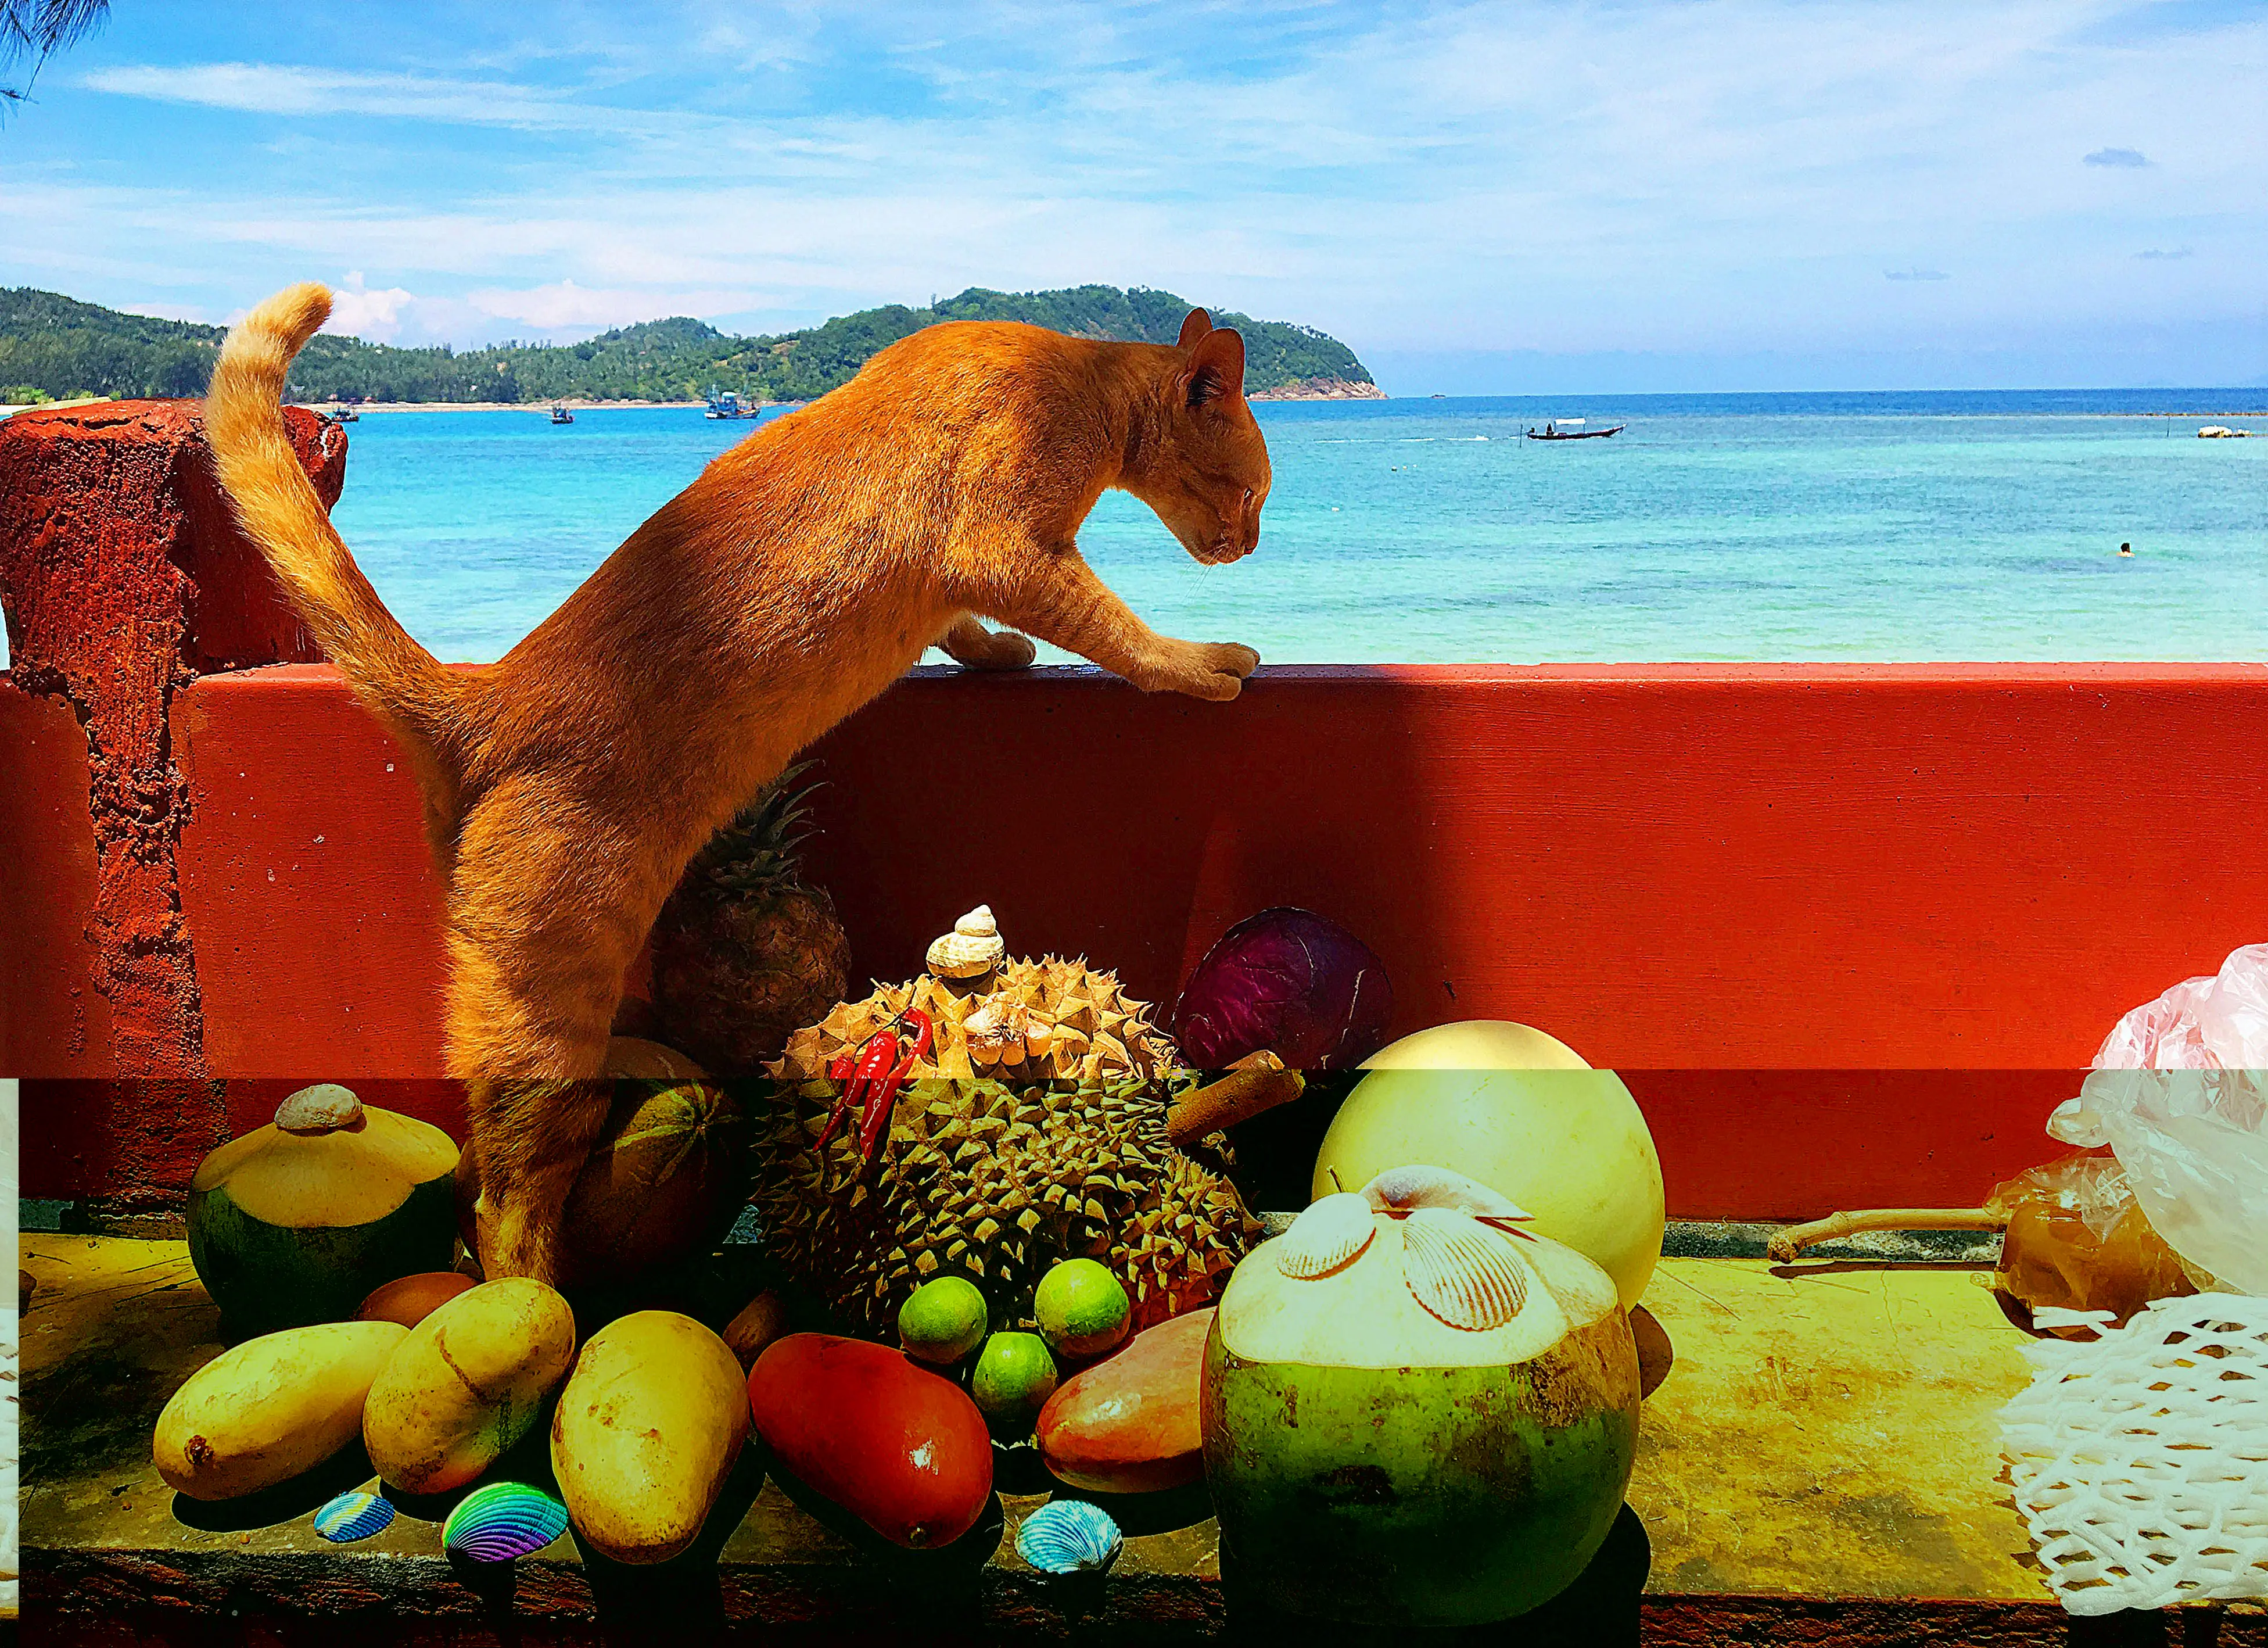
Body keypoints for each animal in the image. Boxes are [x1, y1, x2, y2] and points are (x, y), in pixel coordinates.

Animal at [209, 284, 1279, 1289]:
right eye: (1254, 491)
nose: (1253, 547)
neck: (1080, 382)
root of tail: (482, 699)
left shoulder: (964, 577)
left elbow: (967, 629)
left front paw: (997, 656)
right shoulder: (1004, 547)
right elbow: (1122, 634)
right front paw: (1201, 662)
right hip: (548, 1006)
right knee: (506, 1196)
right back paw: (533, 1310)